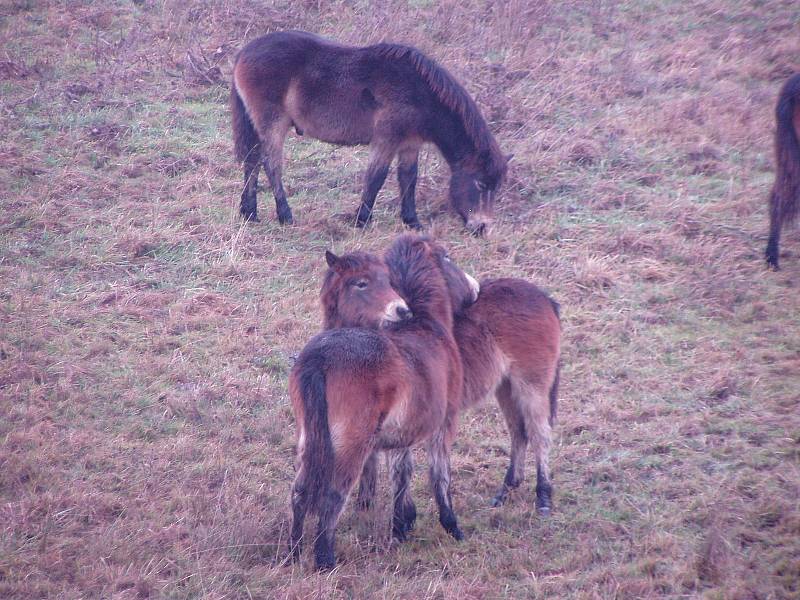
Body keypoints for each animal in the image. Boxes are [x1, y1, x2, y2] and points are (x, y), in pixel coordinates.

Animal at [231, 29, 506, 234]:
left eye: (496, 187)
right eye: (481, 184)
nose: (482, 227)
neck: (420, 93)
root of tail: (246, 51)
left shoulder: (410, 144)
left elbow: (408, 178)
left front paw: (412, 221)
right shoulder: (386, 140)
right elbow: (376, 178)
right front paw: (361, 220)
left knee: (252, 161)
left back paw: (249, 212)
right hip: (273, 124)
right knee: (271, 164)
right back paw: (285, 215)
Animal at [288, 236, 478, 572]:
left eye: (389, 281)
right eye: (448, 258)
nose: (475, 288)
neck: (426, 327)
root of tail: (319, 360)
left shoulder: (400, 435)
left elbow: (400, 473)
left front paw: (401, 526)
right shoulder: (443, 426)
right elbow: (438, 475)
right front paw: (452, 528)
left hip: (309, 440)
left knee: (300, 493)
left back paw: (293, 554)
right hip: (350, 446)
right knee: (332, 497)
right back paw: (325, 561)